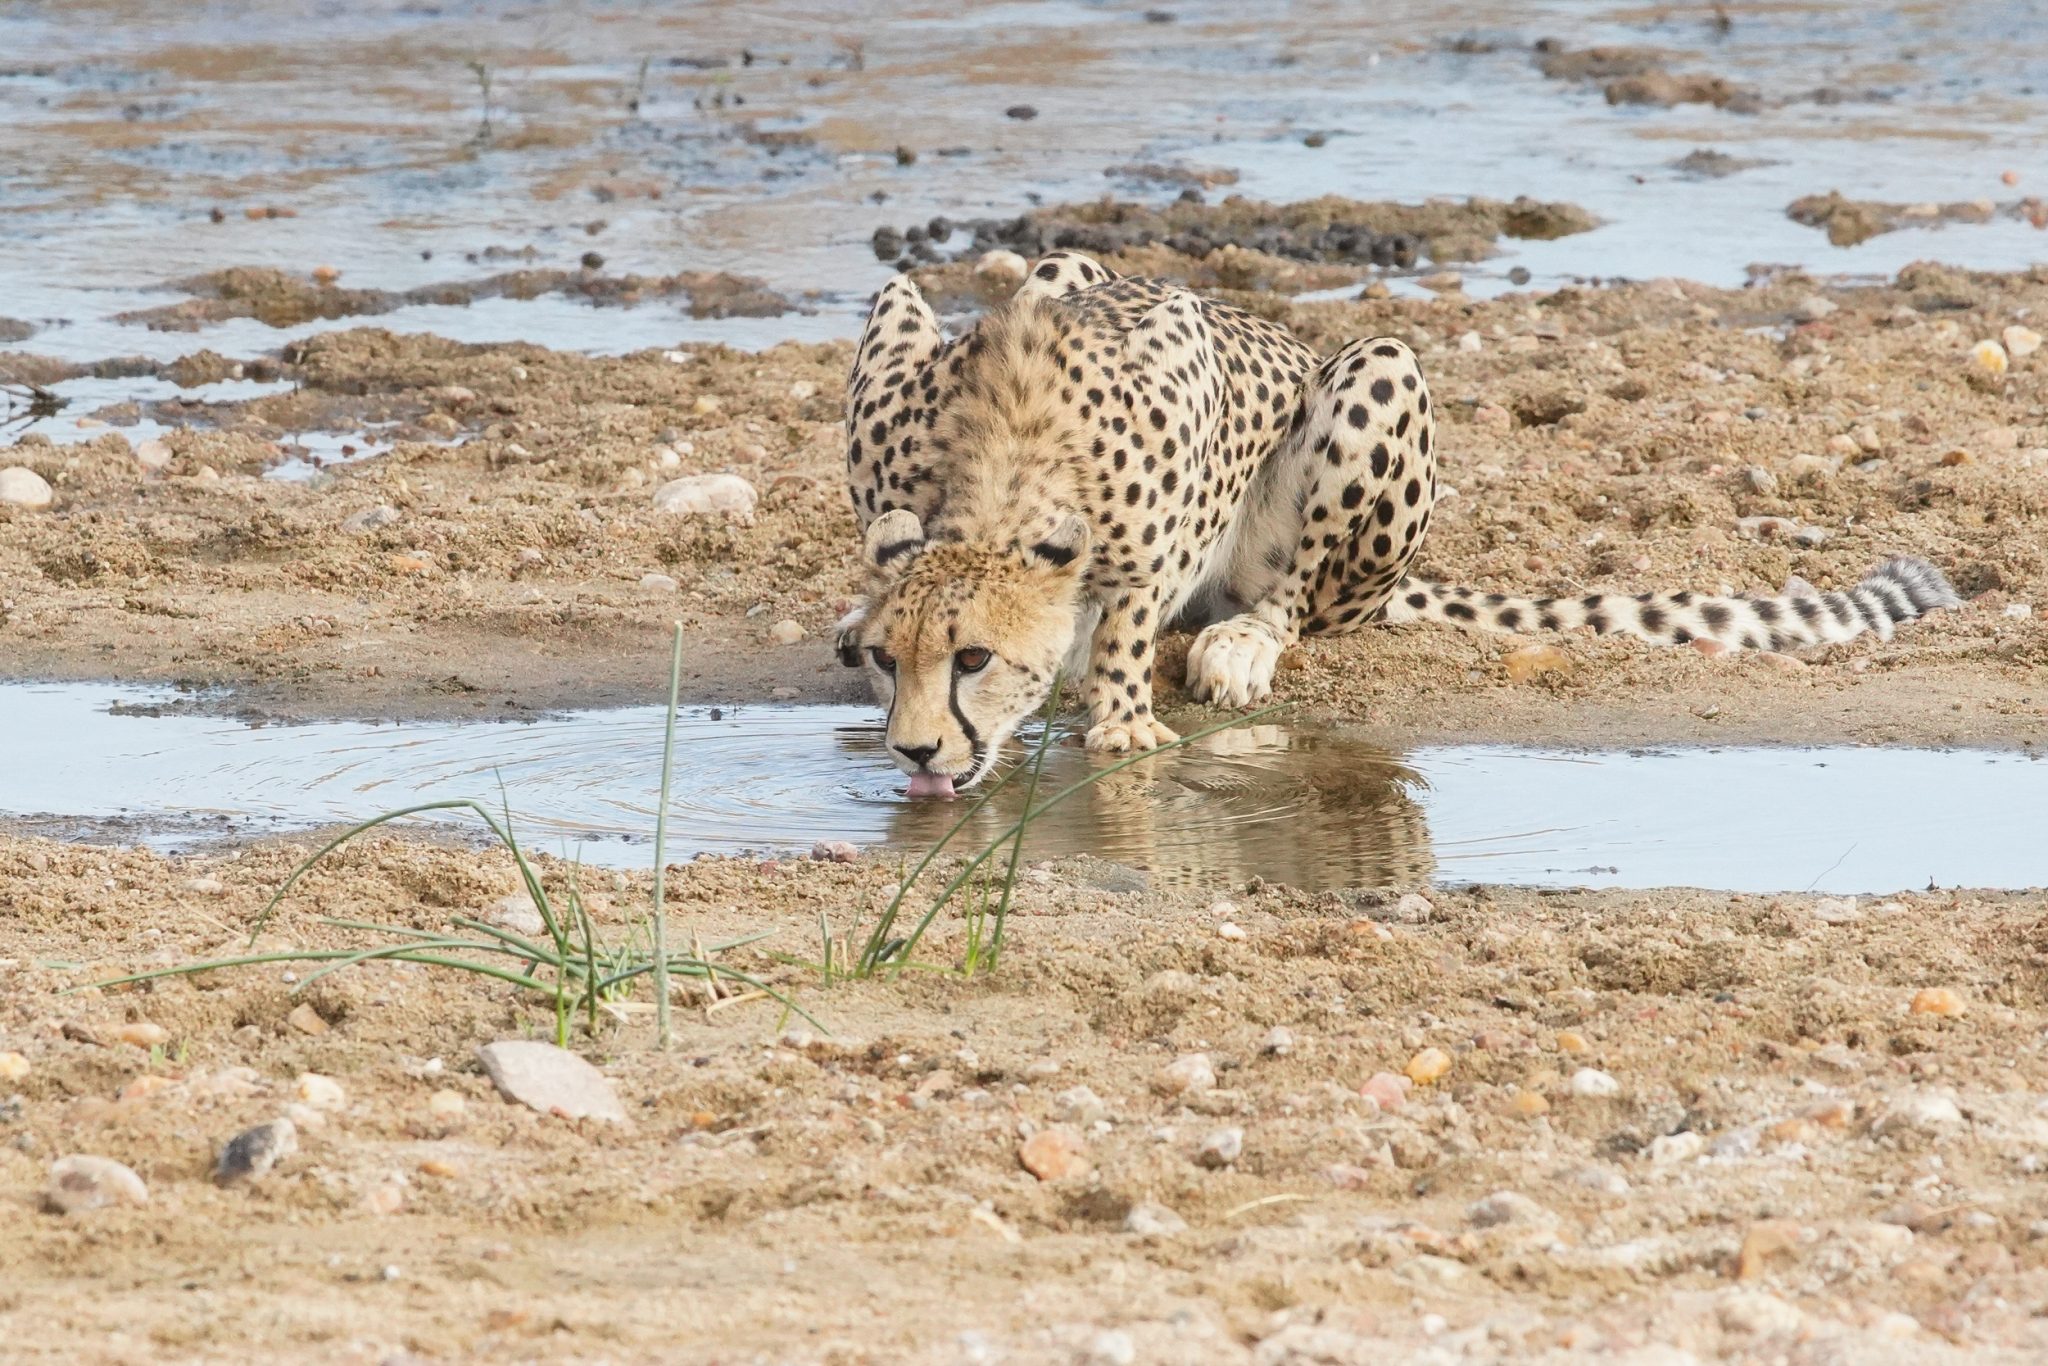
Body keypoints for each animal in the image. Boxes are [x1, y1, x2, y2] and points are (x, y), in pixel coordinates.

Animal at [835, 249, 1960, 796]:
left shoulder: (1188, 380)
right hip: (1065, 264)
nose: (917, 754)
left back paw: (1242, 642)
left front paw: (1120, 713)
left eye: (974, 659)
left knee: (1296, 598)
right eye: (895, 662)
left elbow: (1132, 605)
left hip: (1381, 374)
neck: (998, 474)